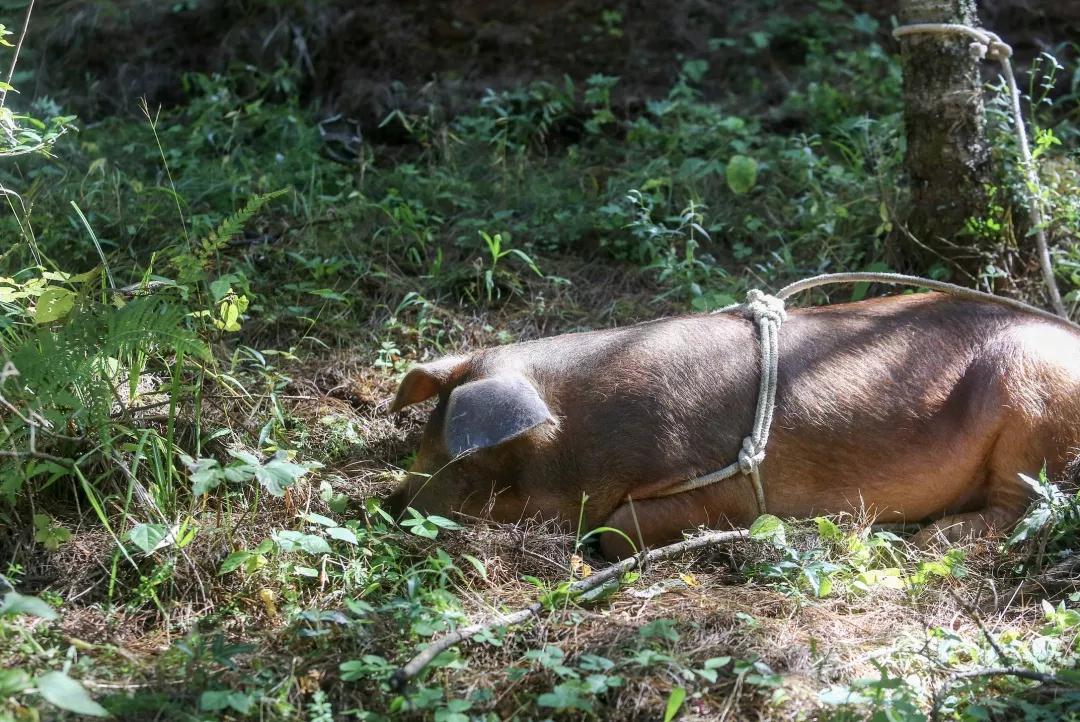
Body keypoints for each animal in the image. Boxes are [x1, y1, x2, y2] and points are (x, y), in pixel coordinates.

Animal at [386, 293, 1080, 556]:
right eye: (425, 435)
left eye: (471, 457)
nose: (391, 505)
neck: (586, 429)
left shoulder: (720, 484)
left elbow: (616, 532)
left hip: (1033, 401)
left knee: (1027, 503)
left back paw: (932, 539)